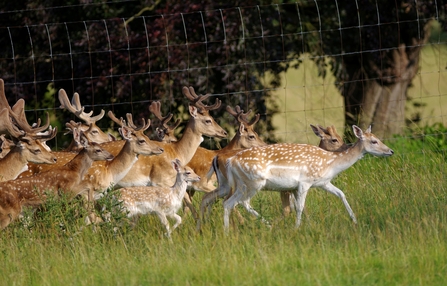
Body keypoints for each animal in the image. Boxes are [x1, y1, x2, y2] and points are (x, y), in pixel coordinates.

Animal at [221, 125, 396, 230]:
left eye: (377, 138)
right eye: (374, 141)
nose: (391, 151)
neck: (330, 164)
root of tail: (231, 161)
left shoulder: (323, 182)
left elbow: (341, 194)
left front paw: (354, 220)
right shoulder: (304, 182)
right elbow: (299, 206)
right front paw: (296, 228)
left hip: (241, 184)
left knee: (228, 203)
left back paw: (227, 231)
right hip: (253, 182)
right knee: (241, 202)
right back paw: (267, 226)